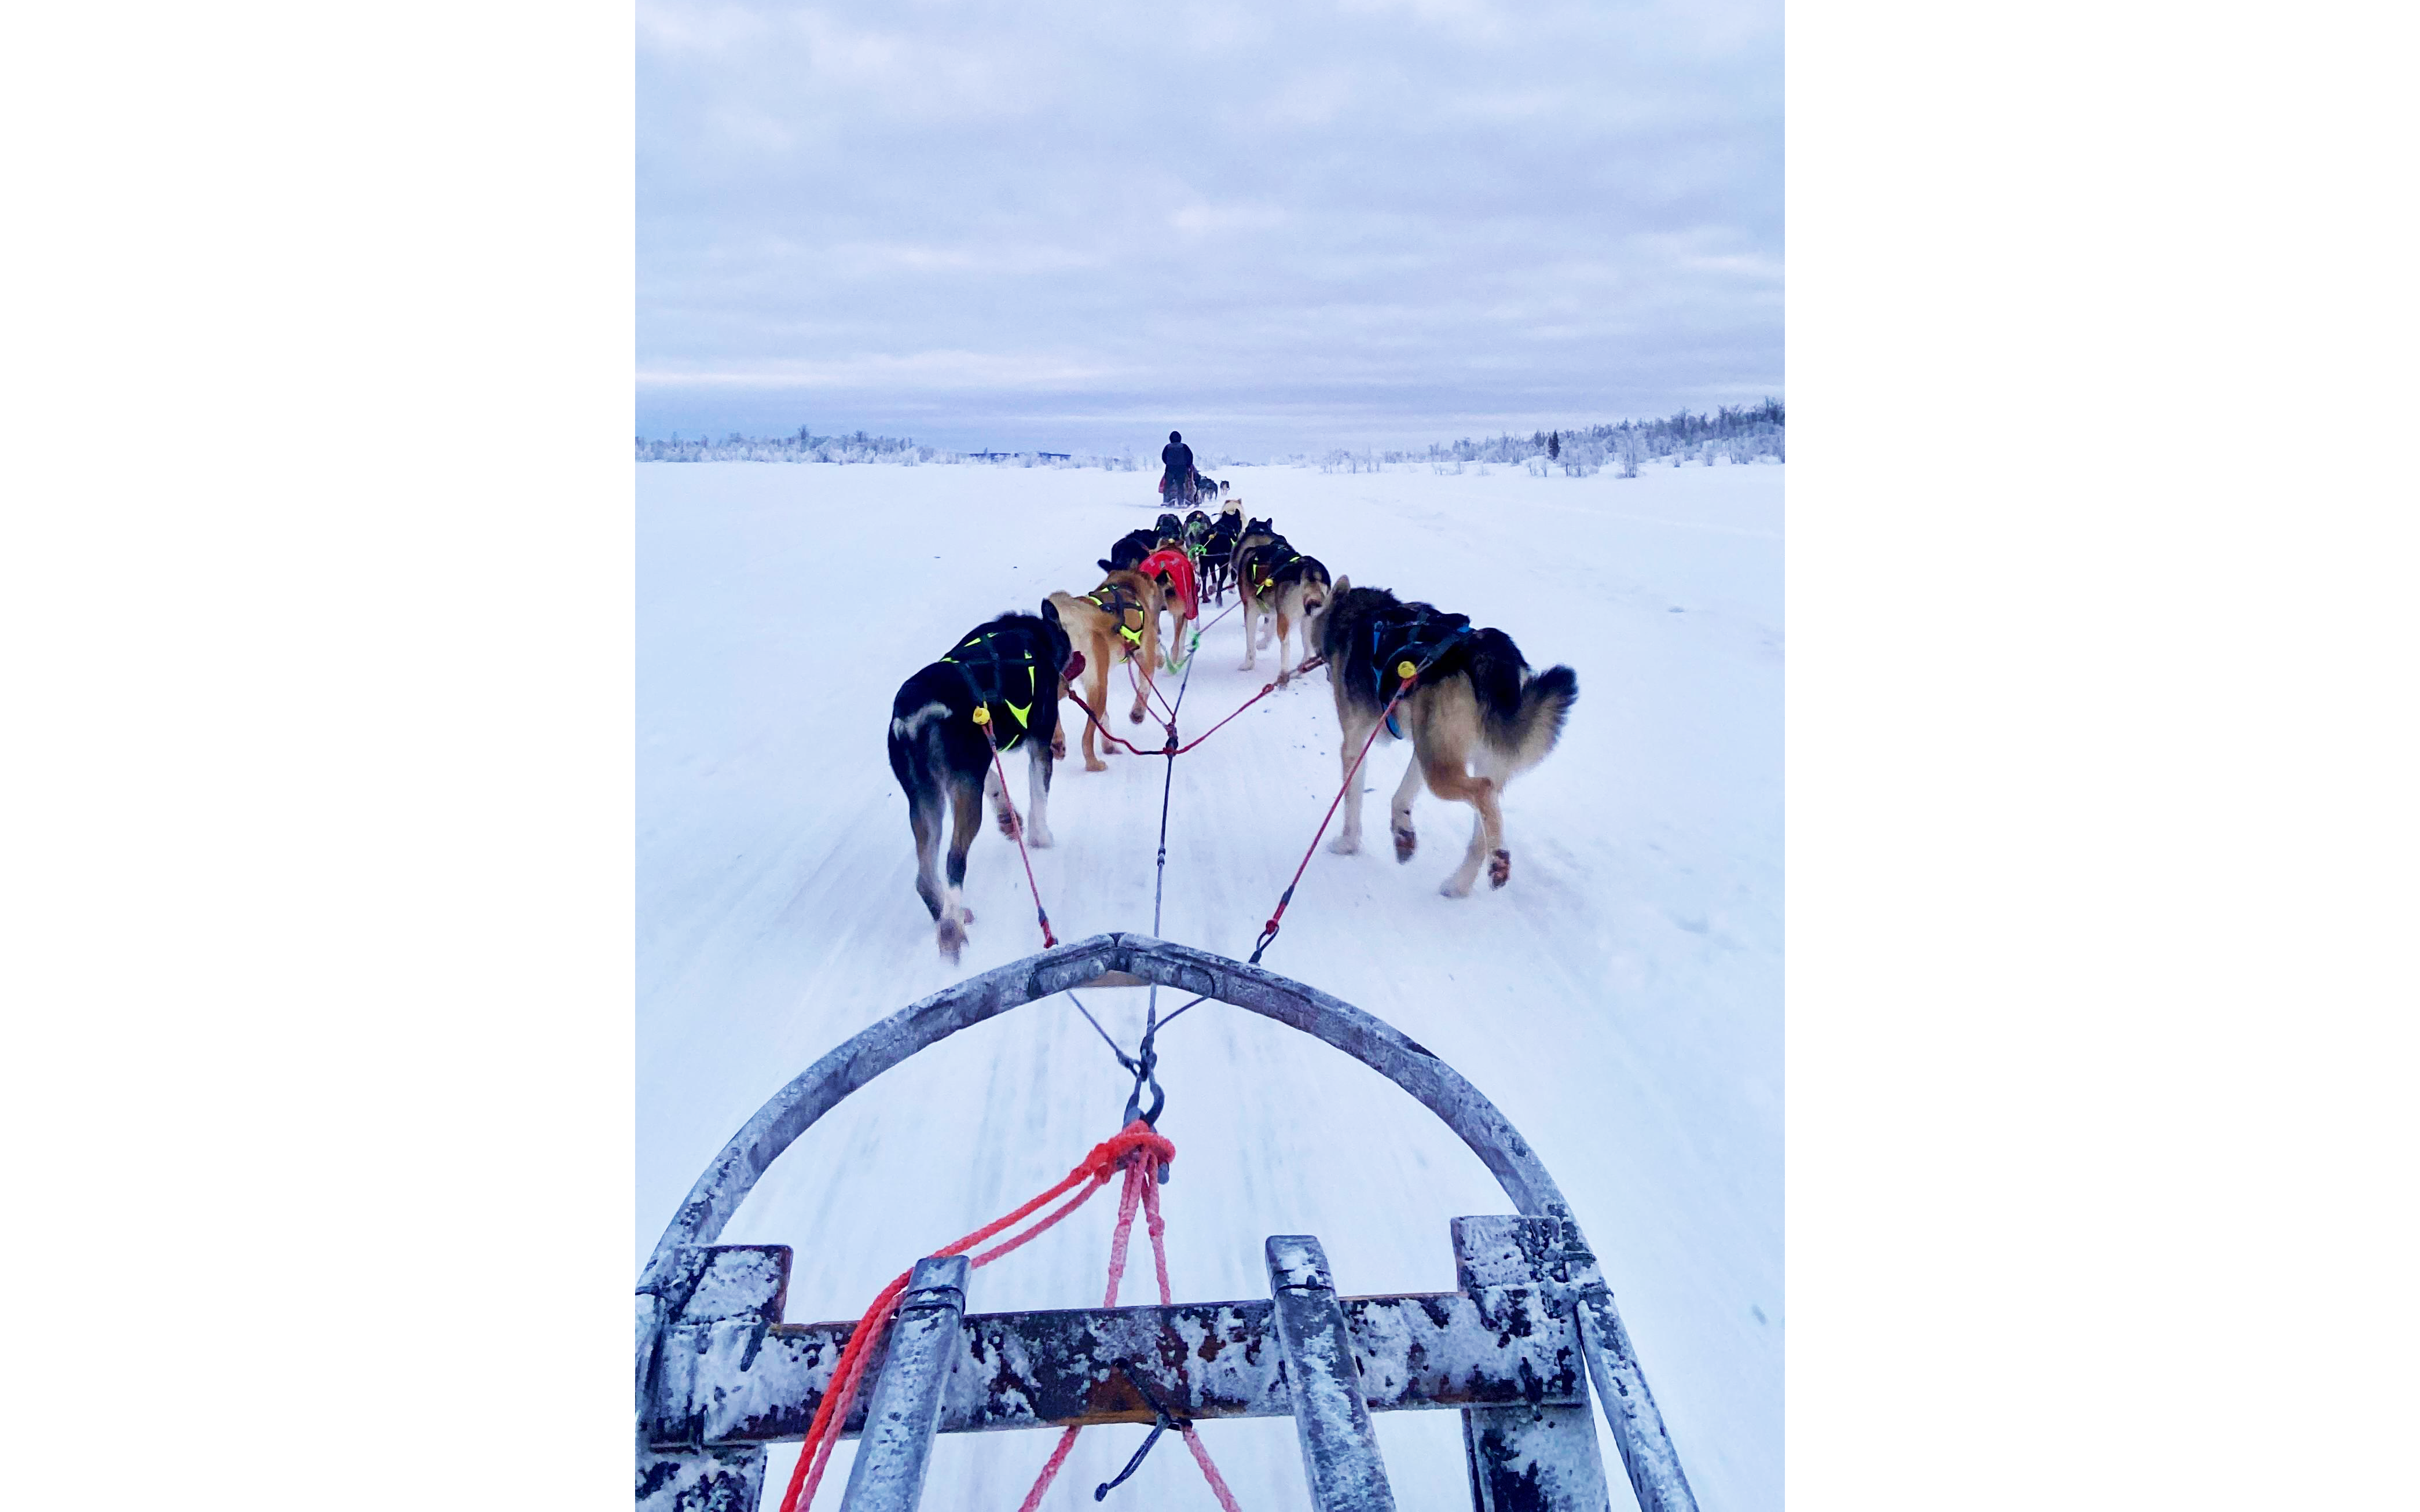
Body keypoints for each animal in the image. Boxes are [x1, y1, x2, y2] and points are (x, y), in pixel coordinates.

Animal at [887, 607, 1080, 959]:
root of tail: (918, 714)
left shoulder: (975, 767)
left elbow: (995, 782)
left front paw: (1008, 816)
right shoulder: (1039, 743)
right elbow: (1039, 798)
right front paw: (1042, 838)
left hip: (926, 799)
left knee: (924, 877)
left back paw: (949, 915)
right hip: (961, 800)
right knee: (954, 859)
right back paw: (952, 928)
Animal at [1046, 569, 1165, 770]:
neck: (1128, 586)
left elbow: (1105, 719)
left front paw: (1110, 746)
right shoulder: (1146, 657)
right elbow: (1145, 688)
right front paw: (1138, 714)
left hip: (1065, 680)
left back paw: (1058, 743)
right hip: (1099, 687)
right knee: (1087, 738)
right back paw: (1094, 764)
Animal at [1234, 535, 1331, 676]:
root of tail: (1311, 570)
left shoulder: (1251, 610)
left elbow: (1250, 643)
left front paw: (1248, 665)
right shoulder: (1276, 611)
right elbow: (1269, 630)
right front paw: (1263, 644)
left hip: (1288, 618)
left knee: (1286, 646)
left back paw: (1284, 674)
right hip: (1307, 620)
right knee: (1308, 648)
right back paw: (1300, 671)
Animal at [1301, 582, 1577, 897]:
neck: (1359, 613)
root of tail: (1492, 659)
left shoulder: (1355, 744)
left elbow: (1352, 799)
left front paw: (1348, 844)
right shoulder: (1422, 750)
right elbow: (1401, 796)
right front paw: (1403, 834)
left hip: (1440, 770)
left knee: (1482, 791)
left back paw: (1498, 861)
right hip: (1459, 758)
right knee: (1482, 827)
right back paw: (1461, 884)